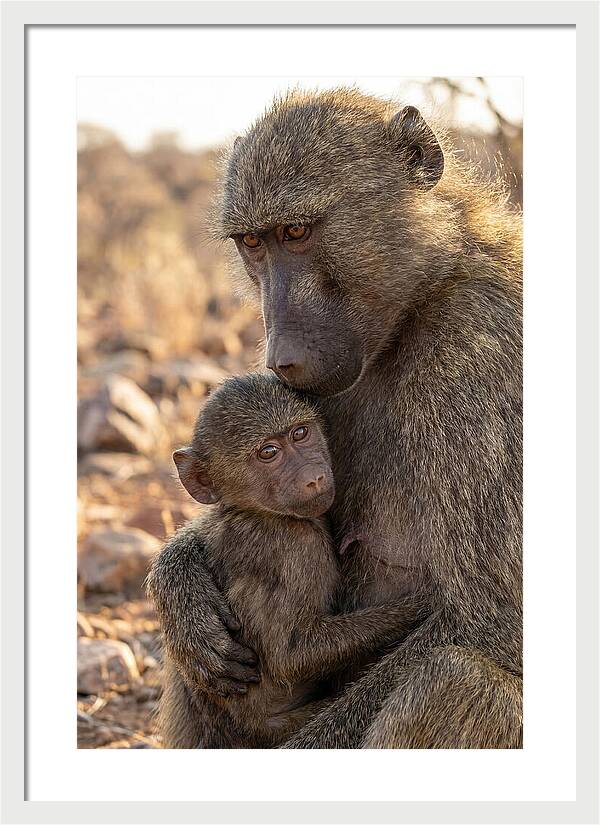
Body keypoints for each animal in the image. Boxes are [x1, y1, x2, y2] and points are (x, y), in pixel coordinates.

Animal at [147, 372, 427, 748]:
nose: (315, 477)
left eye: (300, 433)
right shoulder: (296, 548)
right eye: (268, 453)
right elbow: (291, 655)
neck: (256, 511)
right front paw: (420, 606)